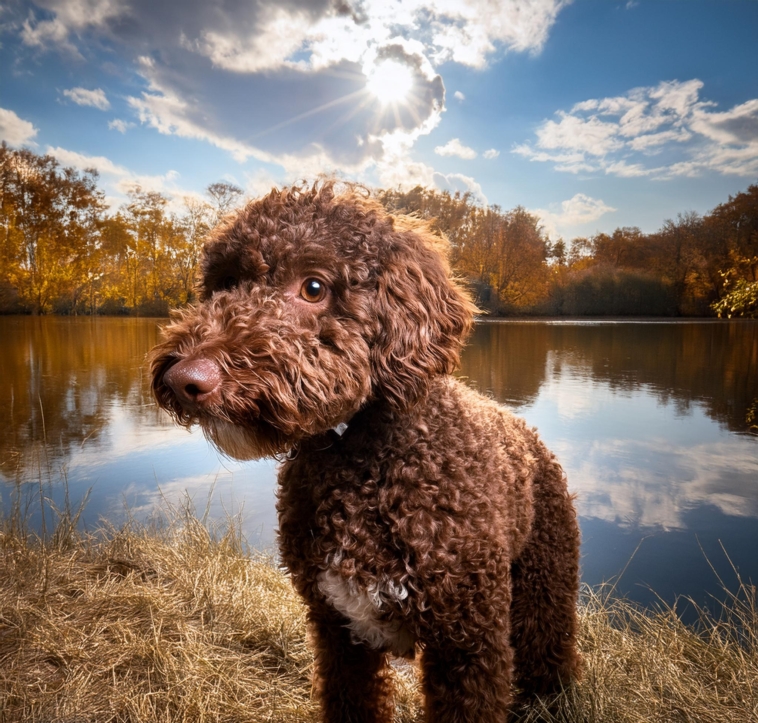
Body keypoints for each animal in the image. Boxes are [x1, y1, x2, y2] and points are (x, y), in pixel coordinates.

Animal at [150, 181, 580, 723]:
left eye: (313, 287)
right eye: (225, 283)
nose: (184, 379)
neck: (359, 463)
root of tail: (527, 430)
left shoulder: (468, 642)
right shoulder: (339, 630)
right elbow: (351, 700)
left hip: (542, 585)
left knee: (550, 654)